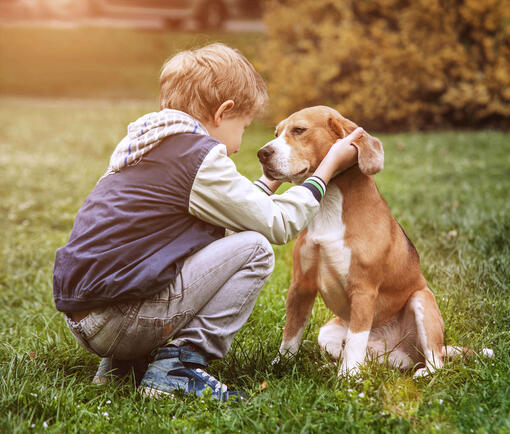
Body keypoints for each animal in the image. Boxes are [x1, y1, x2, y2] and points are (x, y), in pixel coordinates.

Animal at [258, 106, 494, 376]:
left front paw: (348, 378)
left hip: (421, 301)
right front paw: (280, 365)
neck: (329, 205)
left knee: (436, 363)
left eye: (299, 130)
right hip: (327, 331)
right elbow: (291, 334)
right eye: (276, 133)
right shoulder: (301, 286)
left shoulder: (363, 289)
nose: (262, 153)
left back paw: (420, 372)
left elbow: (355, 339)